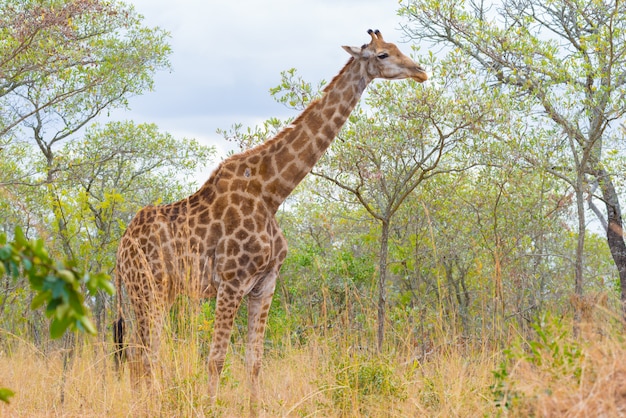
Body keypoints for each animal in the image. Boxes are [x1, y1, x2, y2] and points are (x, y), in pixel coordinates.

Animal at [113, 28, 424, 412]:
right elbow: (216, 358)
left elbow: (254, 360)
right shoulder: (231, 282)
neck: (272, 192)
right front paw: (210, 407)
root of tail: (120, 249)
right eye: (382, 55)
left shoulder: (265, 284)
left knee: (142, 355)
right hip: (146, 290)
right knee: (143, 355)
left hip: (156, 292)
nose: (420, 71)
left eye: (397, 48)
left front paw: (254, 408)